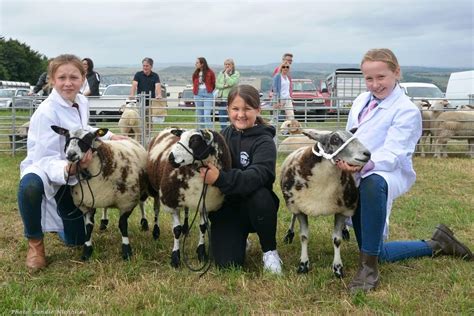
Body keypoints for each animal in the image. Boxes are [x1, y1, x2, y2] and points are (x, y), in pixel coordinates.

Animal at [51, 124, 148, 260]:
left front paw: (126, 250)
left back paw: (144, 223)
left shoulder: (127, 202)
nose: (71, 154)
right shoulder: (86, 204)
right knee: (105, 207)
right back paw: (103, 222)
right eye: (67, 136)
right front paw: (87, 251)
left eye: (88, 138)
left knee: (142, 204)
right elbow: (88, 227)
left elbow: (123, 225)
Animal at [146, 127, 231, 268]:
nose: (170, 158)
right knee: (156, 209)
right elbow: (176, 230)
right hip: (156, 190)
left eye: (195, 141)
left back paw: (186, 228)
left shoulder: (205, 203)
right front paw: (175, 258)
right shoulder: (171, 201)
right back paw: (156, 232)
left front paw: (201, 253)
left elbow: (203, 227)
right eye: (180, 138)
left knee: (185, 210)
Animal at [282, 130, 370, 278]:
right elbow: (304, 237)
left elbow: (337, 240)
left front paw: (337, 268)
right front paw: (303, 265)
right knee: (292, 217)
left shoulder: (343, 209)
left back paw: (345, 231)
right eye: (335, 139)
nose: (367, 154)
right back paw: (289, 235)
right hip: (293, 204)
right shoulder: (299, 208)